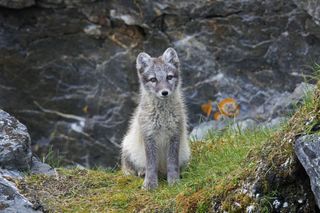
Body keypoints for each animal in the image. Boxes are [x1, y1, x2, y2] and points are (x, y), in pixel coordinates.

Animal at [120, 47, 190, 190]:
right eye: (153, 79)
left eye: (169, 77)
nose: (164, 92)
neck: (162, 116)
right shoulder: (149, 135)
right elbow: (151, 165)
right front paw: (150, 184)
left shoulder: (175, 134)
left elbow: (172, 163)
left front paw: (174, 181)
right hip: (127, 146)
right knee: (132, 169)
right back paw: (141, 172)